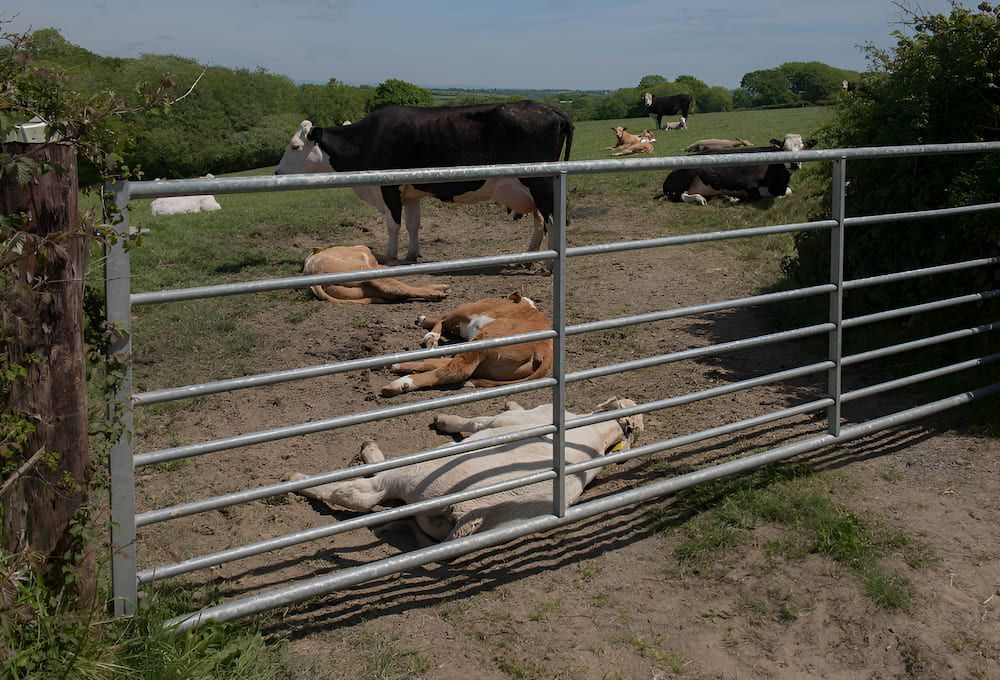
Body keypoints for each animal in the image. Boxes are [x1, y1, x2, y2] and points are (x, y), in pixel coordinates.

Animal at [275, 101, 574, 262]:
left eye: (294, 146)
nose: (277, 173)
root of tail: (549, 109)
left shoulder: (388, 188)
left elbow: (393, 225)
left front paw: (391, 257)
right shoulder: (411, 193)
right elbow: (413, 224)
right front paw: (411, 255)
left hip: (540, 182)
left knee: (552, 217)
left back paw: (548, 264)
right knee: (541, 218)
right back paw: (531, 256)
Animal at [287, 397, 644, 542]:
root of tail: (477, 512)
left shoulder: (501, 422)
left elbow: (475, 421)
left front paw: (444, 419)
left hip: (417, 474)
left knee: (360, 494)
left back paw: (302, 479)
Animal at [303, 245, 448, 304]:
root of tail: (312, 271)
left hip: (358, 290)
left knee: (393, 293)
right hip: (366, 273)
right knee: (397, 289)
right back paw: (438, 292)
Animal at [381, 292, 552, 396]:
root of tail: (546, 349)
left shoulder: (463, 312)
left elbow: (442, 319)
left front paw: (428, 330)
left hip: (482, 343)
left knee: (455, 370)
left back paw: (401, 383)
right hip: (486, 363)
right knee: (443, 363)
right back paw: (398, 365)